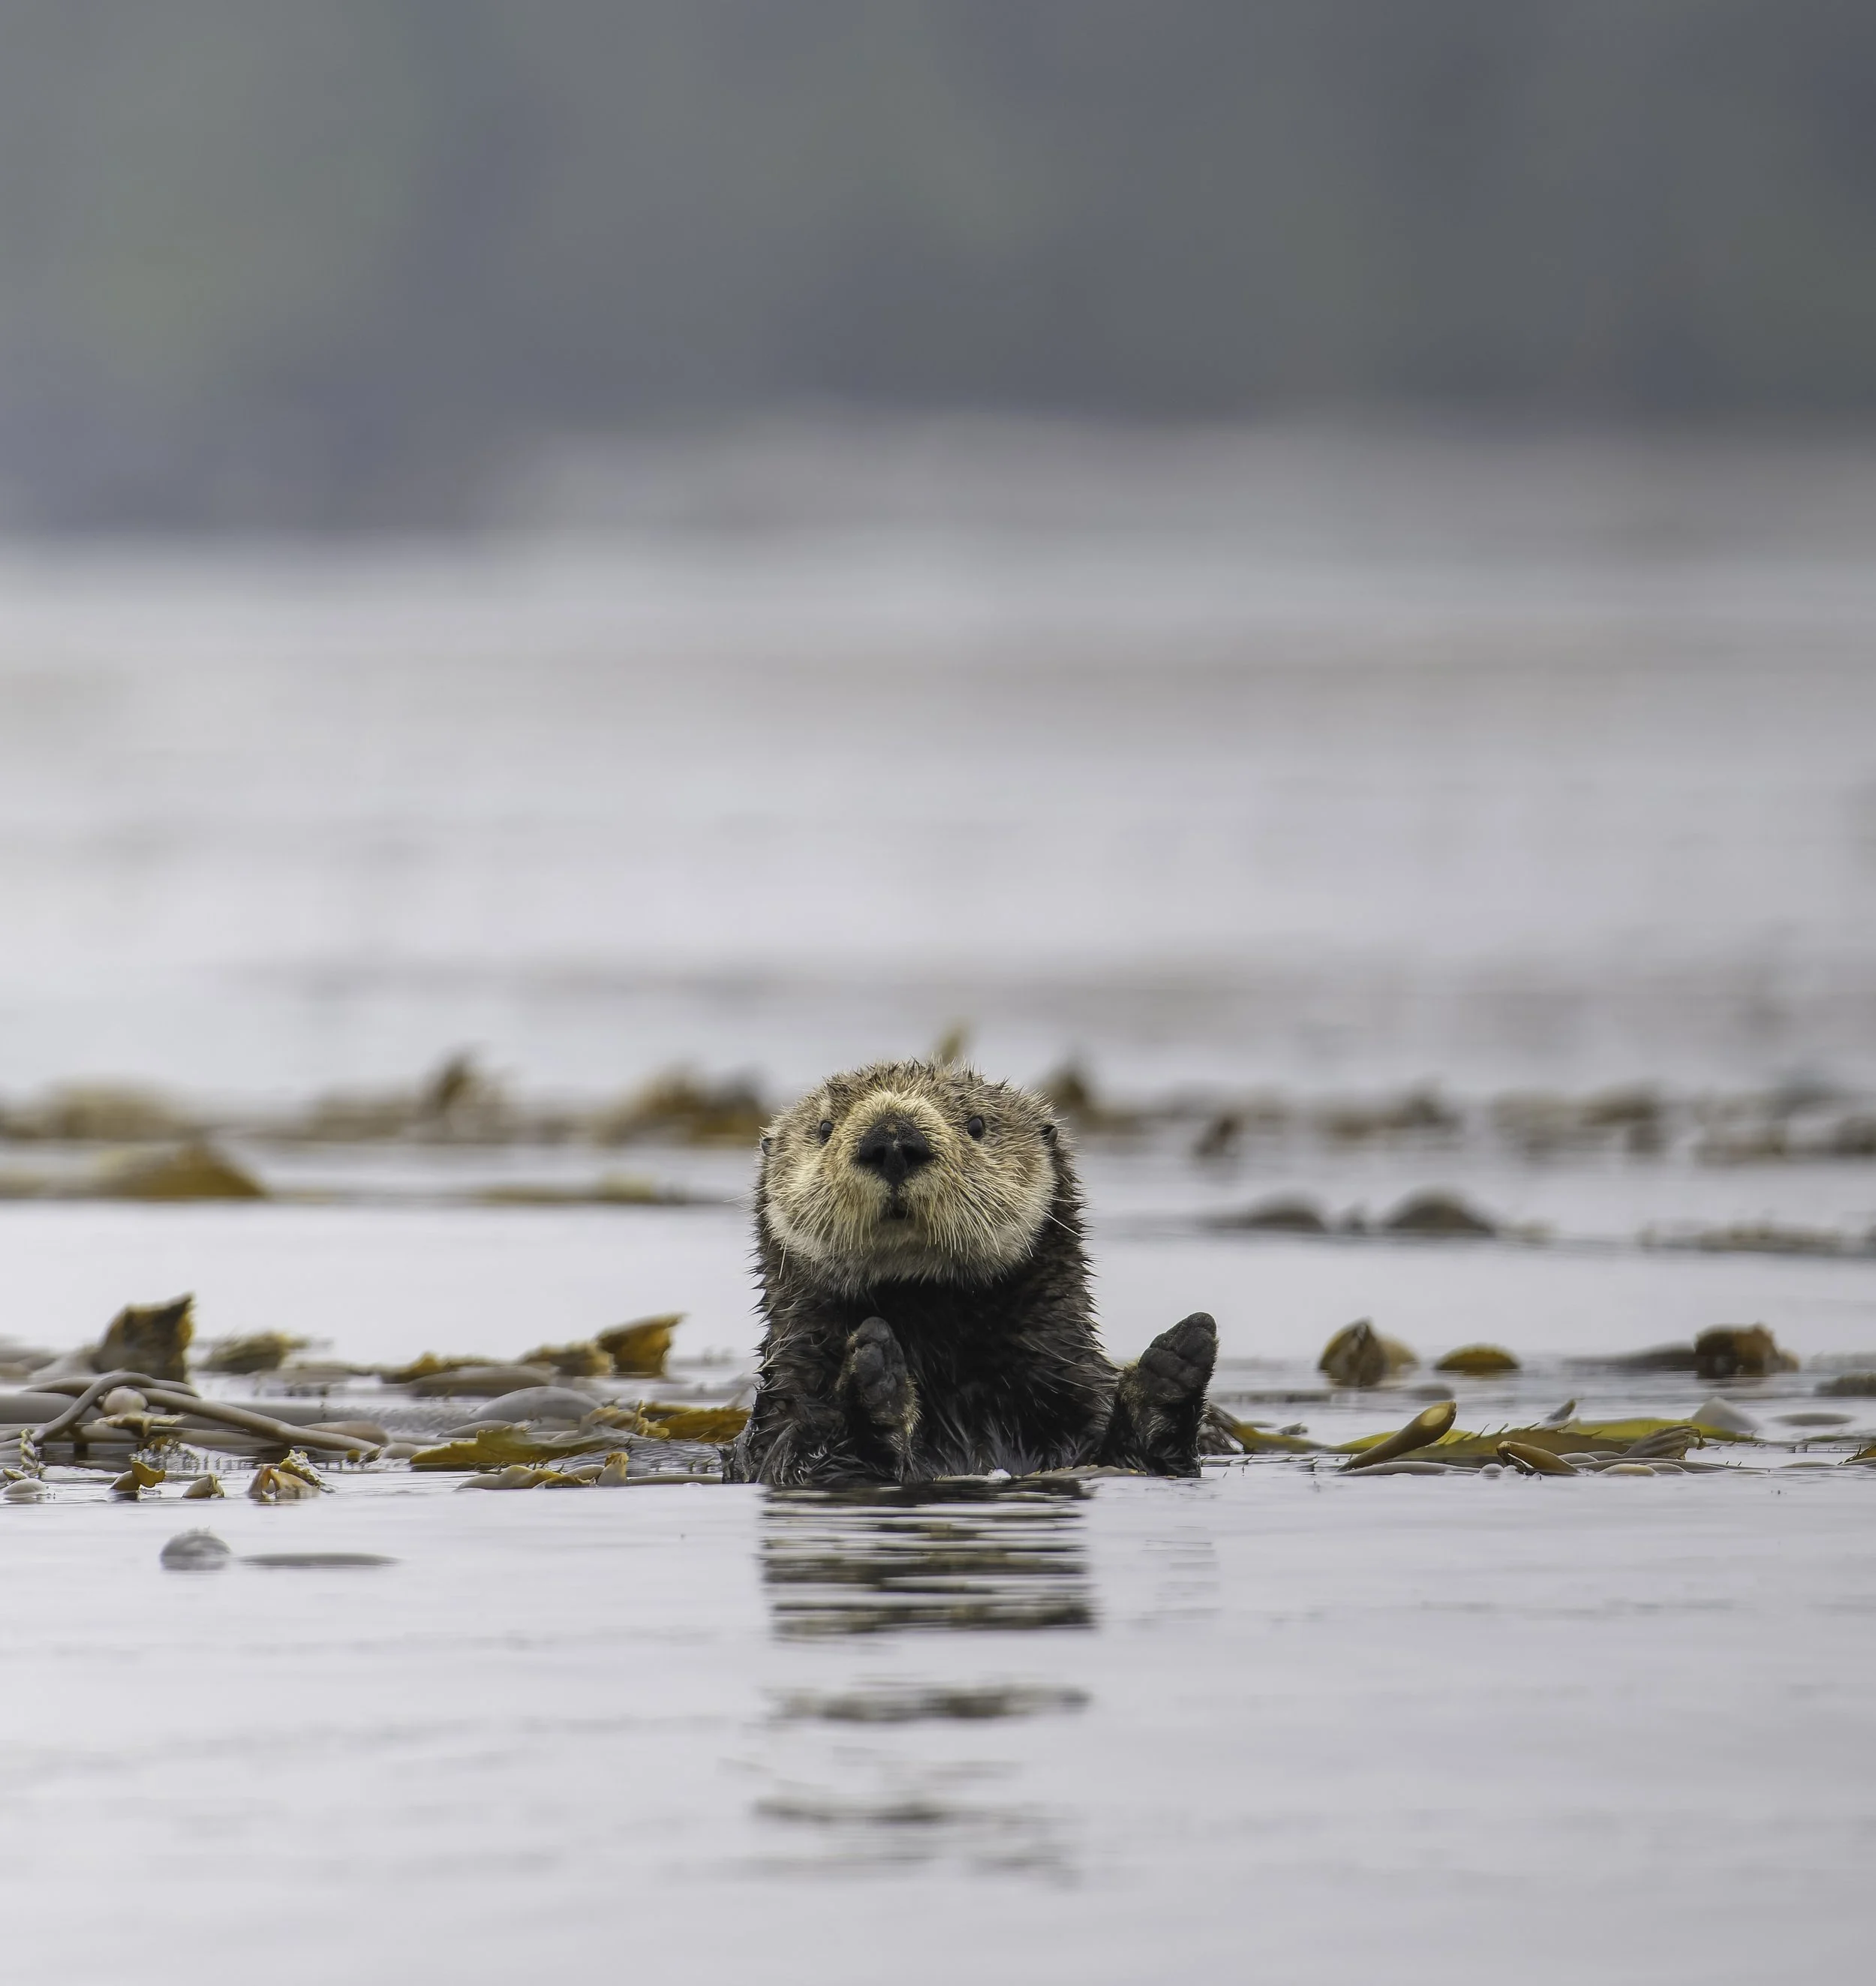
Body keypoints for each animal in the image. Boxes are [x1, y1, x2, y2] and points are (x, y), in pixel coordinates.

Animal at [725, 1060, 1217, 1486]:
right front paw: (870, 1384)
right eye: (825, 1130)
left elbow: (1144, 1459)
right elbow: (800, 1464)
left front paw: (1173, 1368)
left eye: (977, 1125)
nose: (893, 1141)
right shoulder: (776, 1424)